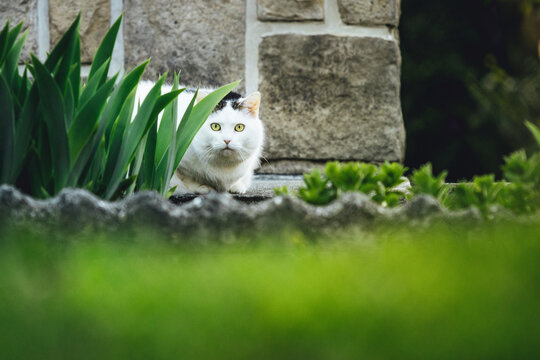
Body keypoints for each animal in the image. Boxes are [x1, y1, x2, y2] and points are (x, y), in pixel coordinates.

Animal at [134, 81, 262, 194]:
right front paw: (202, 187)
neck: (223, 166)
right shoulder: (178, 165)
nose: (227, 140)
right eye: (215, 126)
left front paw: (237, 186)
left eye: (239, 127)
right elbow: (184, 179)